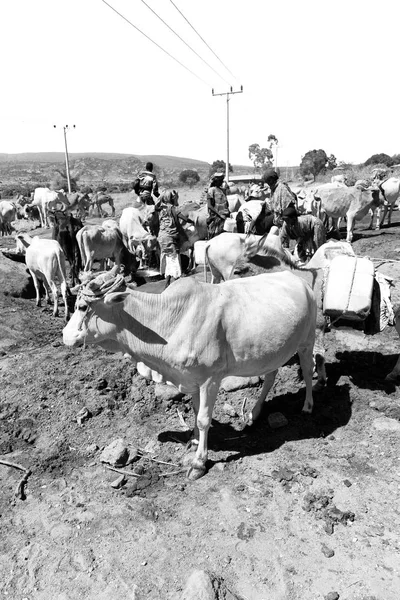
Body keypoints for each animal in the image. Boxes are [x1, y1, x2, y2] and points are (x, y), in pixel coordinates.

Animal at [63, 268, 316, 478]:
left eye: (83, 307)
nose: (64, 335)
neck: (167, 321)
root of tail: (298, 279)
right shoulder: (191, 378)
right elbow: (195, 411)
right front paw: (194, 440)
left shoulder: (210, 379)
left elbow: (204, 419)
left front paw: (199, 462)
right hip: (273, 351)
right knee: (271, 377)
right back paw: (254, 413)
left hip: (307, 341)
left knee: (307, 368)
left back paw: (308, 406)